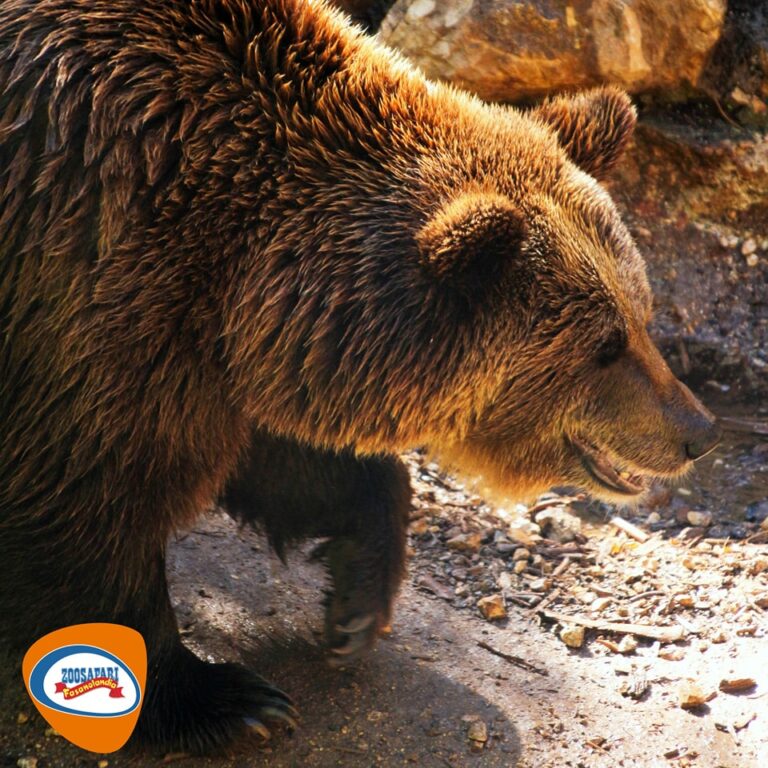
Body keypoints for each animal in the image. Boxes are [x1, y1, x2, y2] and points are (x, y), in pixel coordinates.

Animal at [0, 0, 720, 755]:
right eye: (604, 345)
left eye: (642, 314)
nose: (698, 431)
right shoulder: (90, 290)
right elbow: (83, 505)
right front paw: (230, 700)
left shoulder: (233, 357)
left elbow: (291, 461)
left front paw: (355, 602)